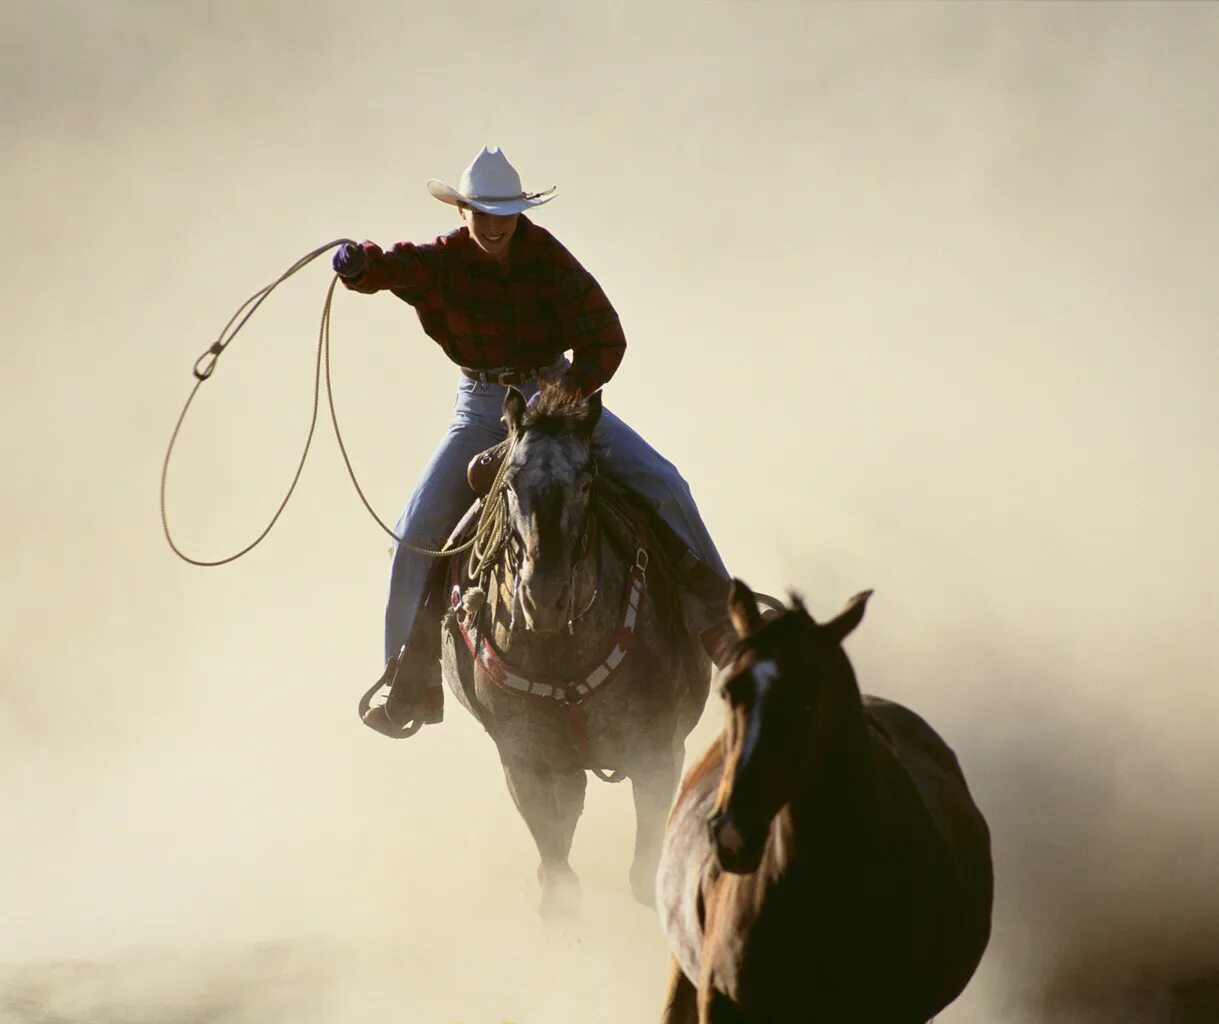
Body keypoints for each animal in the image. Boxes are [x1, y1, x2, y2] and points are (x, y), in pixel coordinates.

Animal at [438, 390, 711, 921]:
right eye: (509, 483)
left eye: (585, 482)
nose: (544, 598)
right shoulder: (531, 766)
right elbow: (559, 886)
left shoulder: (657, 754)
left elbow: (646, 877)